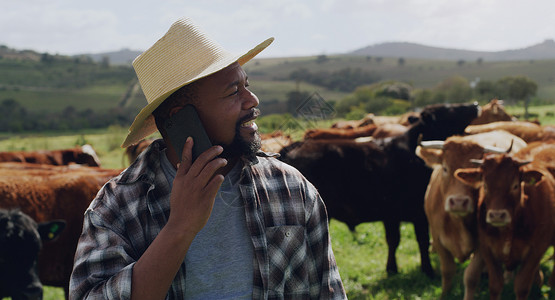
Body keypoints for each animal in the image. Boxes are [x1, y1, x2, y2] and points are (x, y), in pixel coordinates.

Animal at [280, 102, 484, 276]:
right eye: (448, 109)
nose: (475, 105)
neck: (414, 154)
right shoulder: (417, 214)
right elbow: (421, 241)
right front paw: (427, 270)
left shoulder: (392, 215)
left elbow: (393, 241)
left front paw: (392, 269)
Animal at [420, 130, 528, 298]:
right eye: (445, 168)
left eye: (477, 174)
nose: (458, 202)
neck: (456, 223)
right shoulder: (437, 239)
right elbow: (447, 270)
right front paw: (445, 294)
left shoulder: (483, 246)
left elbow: (470, 276)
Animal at [454, 148, 555, 300]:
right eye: (485, 185)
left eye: (515, 185)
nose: (497, 215)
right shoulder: (486, 248)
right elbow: (495, 286)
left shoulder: (537, 249)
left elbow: (522, 286)